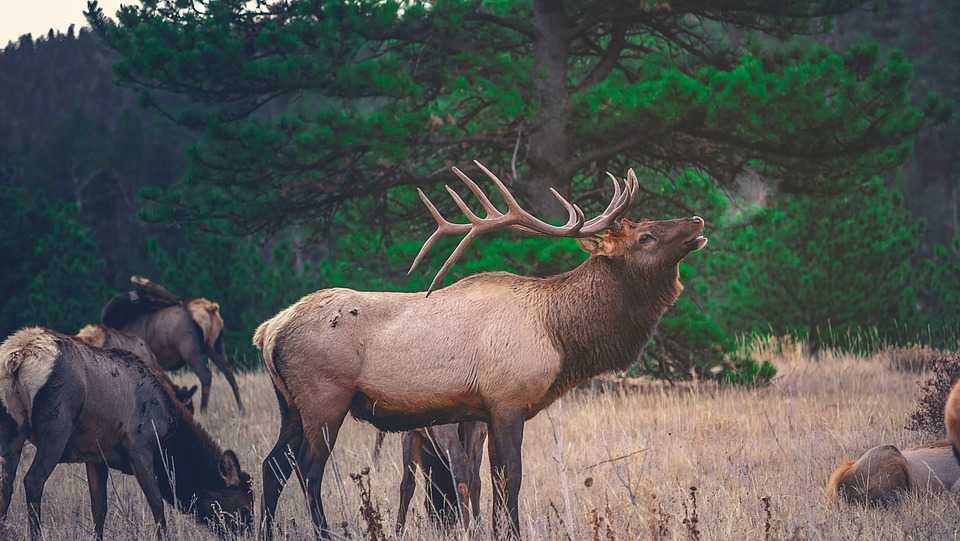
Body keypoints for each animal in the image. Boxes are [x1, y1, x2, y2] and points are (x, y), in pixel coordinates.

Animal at [253, 161, 707, 539]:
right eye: (646, 236)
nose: (697, 218)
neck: (559, 334)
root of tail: (269, 330)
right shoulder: (507, 400)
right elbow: (511, 479)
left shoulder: (481, 411)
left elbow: (488, 480)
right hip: (325, 397)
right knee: (308, 471)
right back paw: (324, 532)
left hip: (289, 404)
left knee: (272, 466)